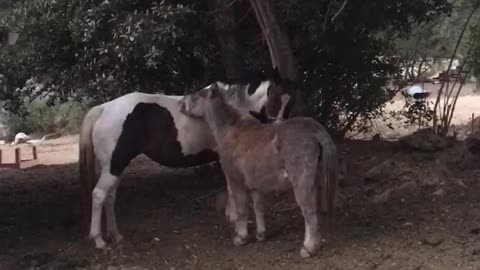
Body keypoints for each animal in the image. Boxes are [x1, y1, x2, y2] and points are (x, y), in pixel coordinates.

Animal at [79, 79, 292, 249]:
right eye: (276, 103)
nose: (280, 133)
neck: (234, 114)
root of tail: (103, 108)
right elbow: (233, 190)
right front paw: (235, 219)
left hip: (115, 168)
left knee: (109, 198)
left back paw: (116, 236)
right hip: (113, 166)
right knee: (99, 195)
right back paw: (99, 241)